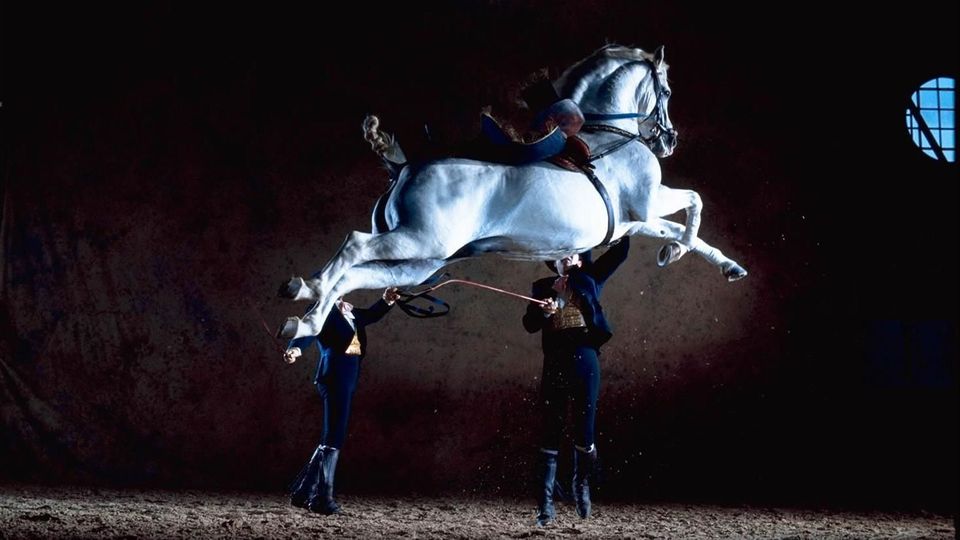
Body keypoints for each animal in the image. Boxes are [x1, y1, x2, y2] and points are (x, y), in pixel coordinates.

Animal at [277, 44, 747, 340]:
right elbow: (694, 202)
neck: (608, 134)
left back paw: (303, 321)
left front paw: (721, 264)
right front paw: (676, 251)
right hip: (418, 241)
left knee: (355, 276)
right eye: (665, 90)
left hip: (419, 264)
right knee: (353, 247)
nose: (669, 141)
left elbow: (682, 228)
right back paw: (308, 289)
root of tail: (403, 166)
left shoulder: (632, 222)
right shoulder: (649, 203)